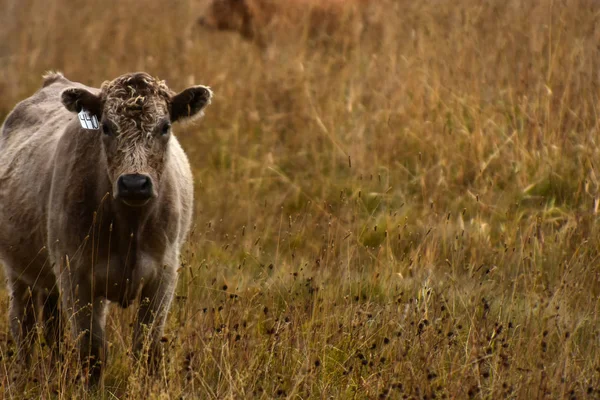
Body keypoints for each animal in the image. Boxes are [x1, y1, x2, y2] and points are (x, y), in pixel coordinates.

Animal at [0, 70, 212, 382]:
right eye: (107, 127)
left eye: (164, 127)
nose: (134, 183)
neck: (129, 227)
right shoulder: (76, 276)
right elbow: (92, 353)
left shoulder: (163, 275)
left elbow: (146, 347)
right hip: (20, 271)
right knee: (23, 325)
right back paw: (23, 377)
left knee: (51, 327)